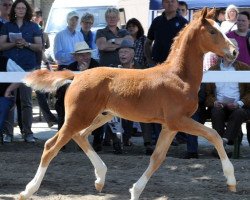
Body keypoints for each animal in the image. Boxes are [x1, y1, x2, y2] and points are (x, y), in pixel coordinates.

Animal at [20, 7, 237, 200]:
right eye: (212, 31)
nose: (234, 52)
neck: (179, 77)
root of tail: (77, 75)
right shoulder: (179, 120)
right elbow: (214, 135)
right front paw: (231, 181)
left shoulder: (170, 126)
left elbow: (157, 158)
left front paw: (135, 191)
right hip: (78, 117)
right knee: (51, 146)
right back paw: (28, 191)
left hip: (101, 116)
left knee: (80, 136)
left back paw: (100, 179)